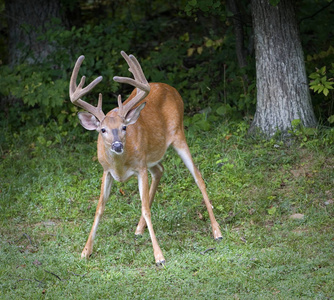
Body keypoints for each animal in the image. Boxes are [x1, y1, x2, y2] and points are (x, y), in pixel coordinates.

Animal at [69, 51, 223, 264]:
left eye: (124, 127)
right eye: (102, 130)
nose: (117, 146)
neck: (120, 167)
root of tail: (170, 88)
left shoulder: (140, 167)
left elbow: (145, 208)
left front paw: (159, 256)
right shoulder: (106, 170)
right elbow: (99, 207)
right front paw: (85, 251)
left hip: (178, 134)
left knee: (198, 177)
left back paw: (217, 232)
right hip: (151, 155)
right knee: (160, 170)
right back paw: (138, 228)